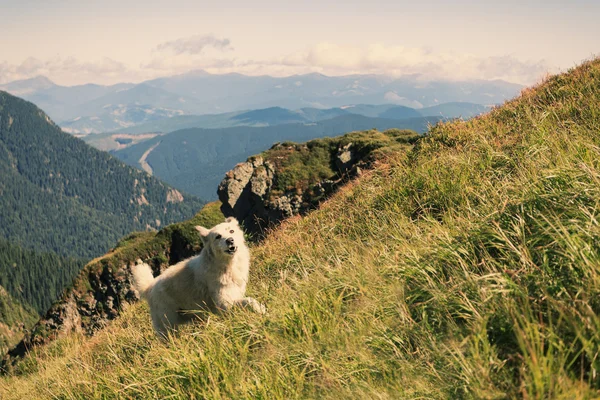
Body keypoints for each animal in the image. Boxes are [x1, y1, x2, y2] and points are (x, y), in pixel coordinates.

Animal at [132, 217, 264, 336]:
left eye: (231, 231)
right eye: (218, 236)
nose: (230, 240)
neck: (226, 266)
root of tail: (149, 287)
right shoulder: (224, 303)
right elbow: (249, 300)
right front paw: (261, 309)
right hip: (168, 324)